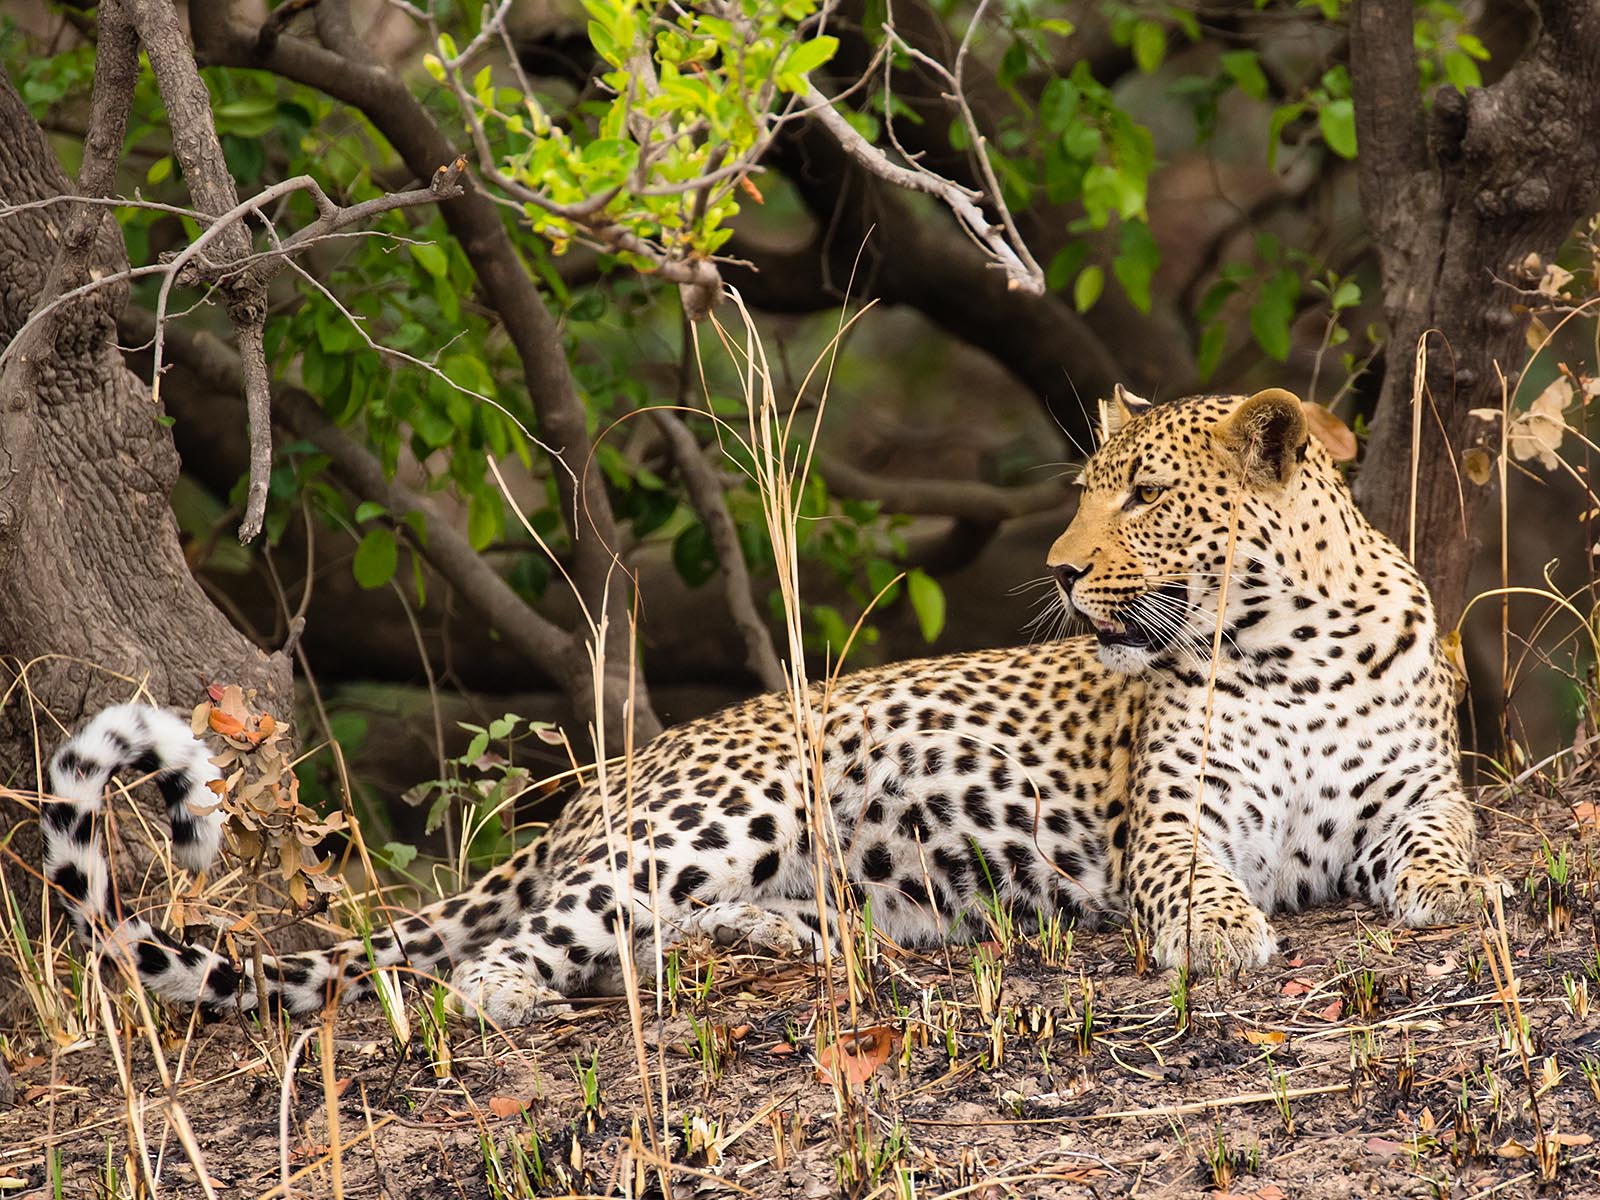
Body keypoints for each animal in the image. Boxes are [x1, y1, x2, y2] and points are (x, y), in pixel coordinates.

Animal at [40, 386, 1483, 1026]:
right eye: (1087, 492)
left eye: (1144, 495)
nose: (1065, 570)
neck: (1288, 649)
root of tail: (605, 786)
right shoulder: (1175, 824)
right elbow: (1191, 877)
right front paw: (1222, 935)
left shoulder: (1417, 789)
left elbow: (1446, 839)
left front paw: (1461, 896)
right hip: (721, 811)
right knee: (509, 955)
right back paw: (520, 997)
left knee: (636, 934)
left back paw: (785, 937)